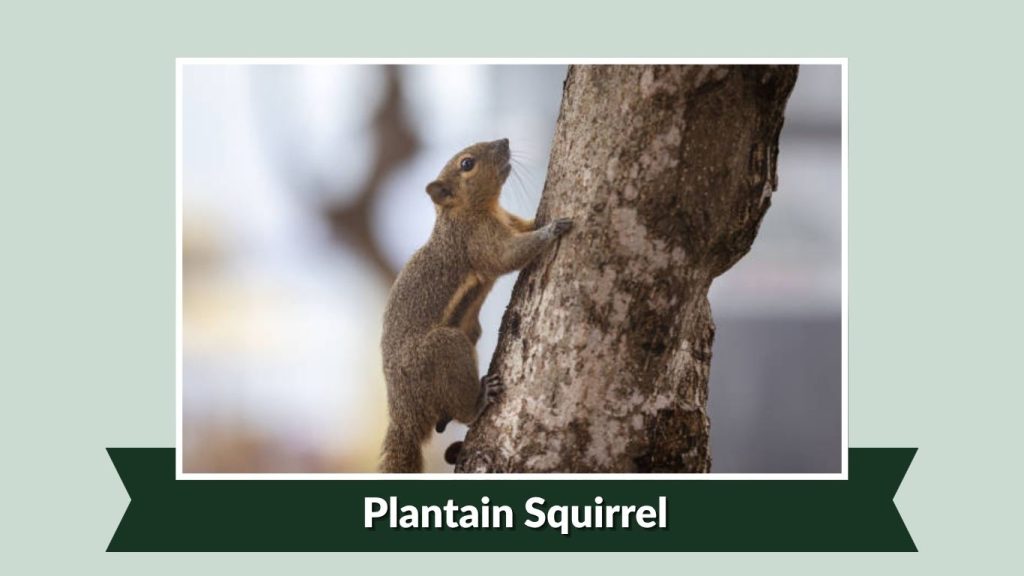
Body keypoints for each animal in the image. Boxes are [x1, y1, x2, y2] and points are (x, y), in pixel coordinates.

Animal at [379, 138, 572, 473]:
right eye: (467, 164)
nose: (504, 141)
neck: (467, 212)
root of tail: (404, 414)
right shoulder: (477, 241)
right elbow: (506, 256)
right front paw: (552, 229)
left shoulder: (510, 221)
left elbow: (526, 227)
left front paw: (543, 224)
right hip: (442, 350)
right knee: (461, 406)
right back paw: (479, 400)